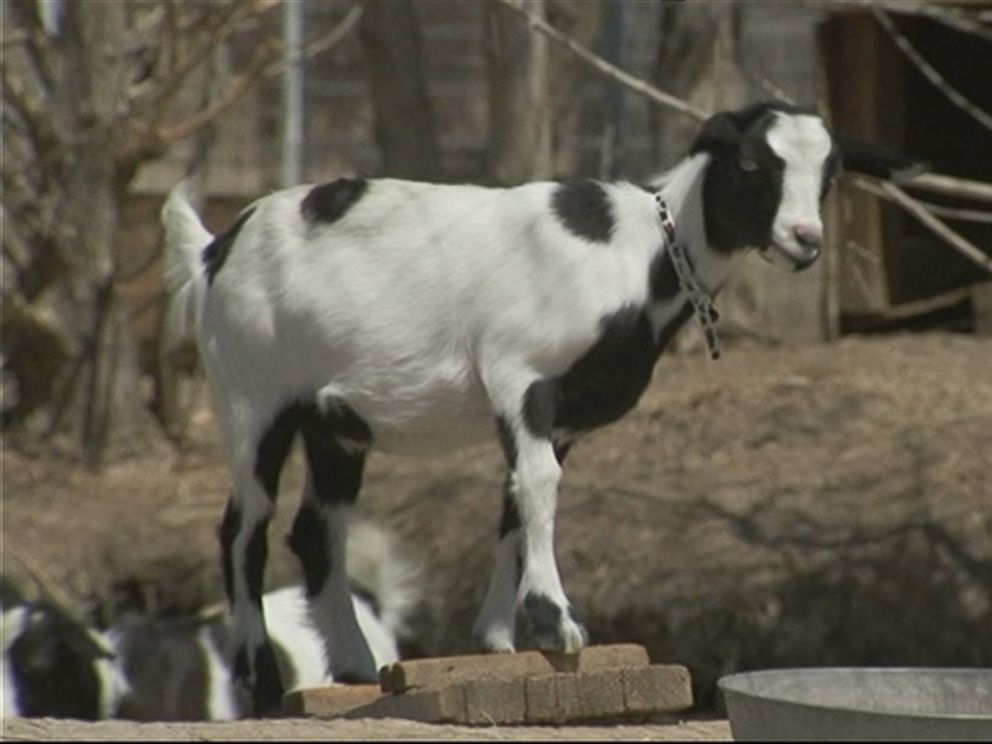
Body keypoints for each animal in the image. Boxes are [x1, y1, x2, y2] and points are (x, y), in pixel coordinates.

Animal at [163, 100, 924, 716]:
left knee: (317, 531)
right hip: (250, 394)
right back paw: (263, 679)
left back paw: (353, 668)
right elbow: (539, 488)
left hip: (334, 423)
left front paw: (499, 641)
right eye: (749, 161)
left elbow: (517, 505)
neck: (636, 256)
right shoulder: (519, 375)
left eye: (831, 173)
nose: (805, 240)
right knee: (243, 532)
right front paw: (559, 625)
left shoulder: (561, 416)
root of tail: (215, 247)